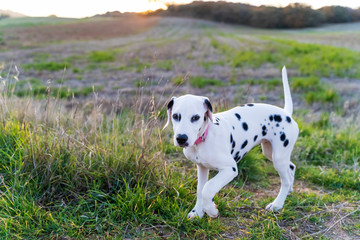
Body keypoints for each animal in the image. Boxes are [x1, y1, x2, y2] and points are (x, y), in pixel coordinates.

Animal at [163, 66, 298, 218]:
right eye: (175, 116)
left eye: (195, 117)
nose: (181, 138)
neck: (204, 138)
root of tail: (286, 113)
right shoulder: (202, 167)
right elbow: (200, 190)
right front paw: (197, 212)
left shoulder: (230, 169)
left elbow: (207, 189)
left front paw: (211, 210)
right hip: (271, 152)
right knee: (291, 167)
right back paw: (289, 190)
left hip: (278, 157)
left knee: (285, 180)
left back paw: (277, 204)